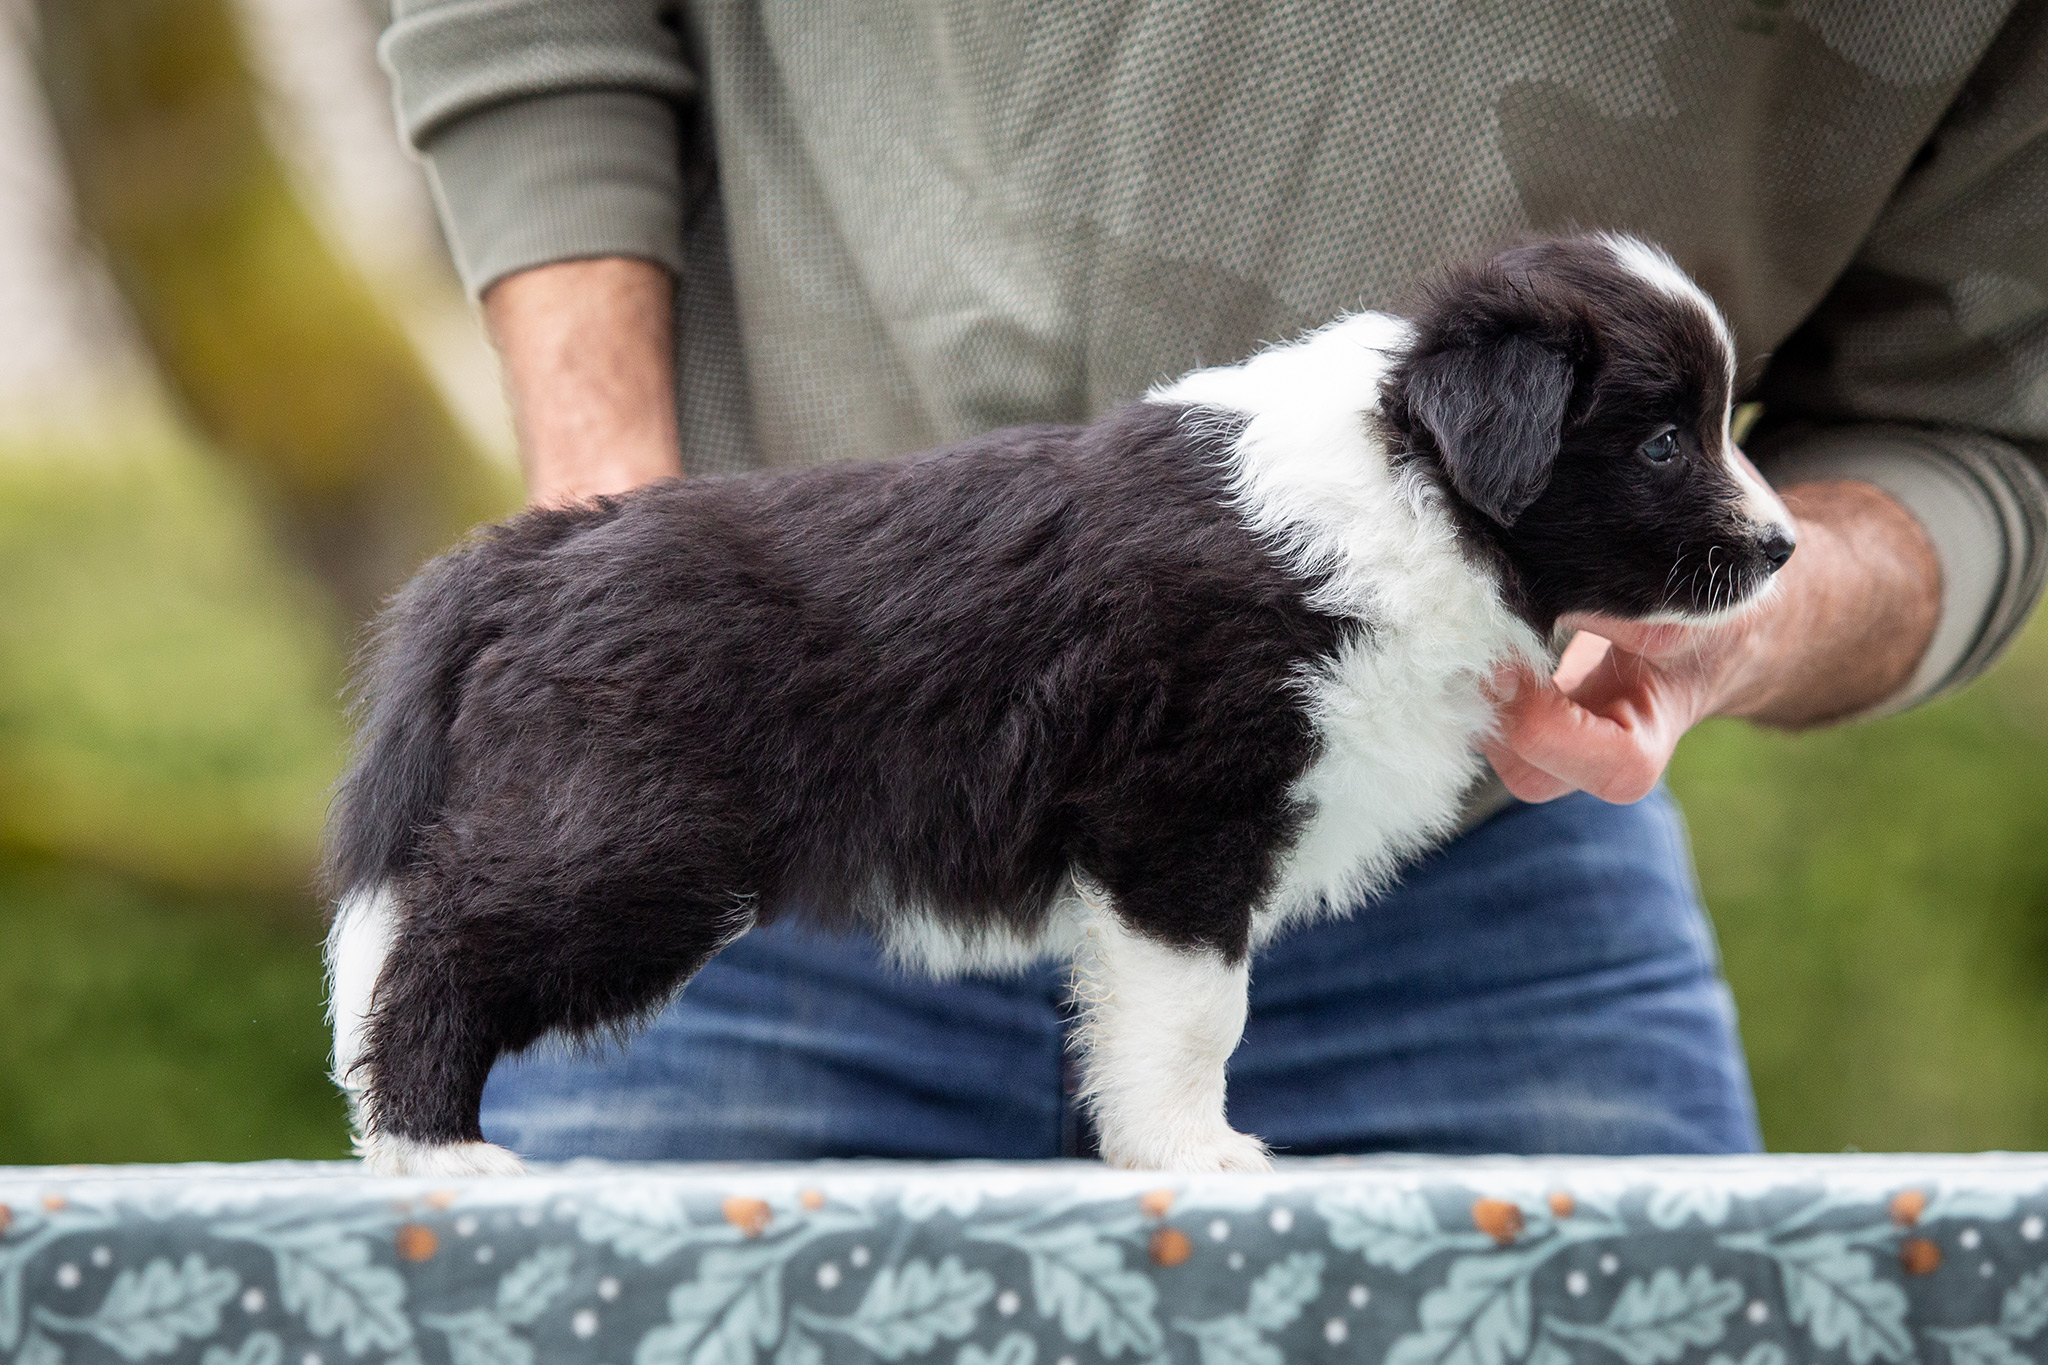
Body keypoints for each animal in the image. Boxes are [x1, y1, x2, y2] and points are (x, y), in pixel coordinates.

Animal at [319, 232, 1794, 1178]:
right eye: (1665, 442)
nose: (1785, 551)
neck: (1409, 480)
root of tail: (527, 557)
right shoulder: (1180, 812)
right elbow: (1198, 1012)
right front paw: (1195, 1153)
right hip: (636, 844)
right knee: (441, 951)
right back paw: (434, 1151)